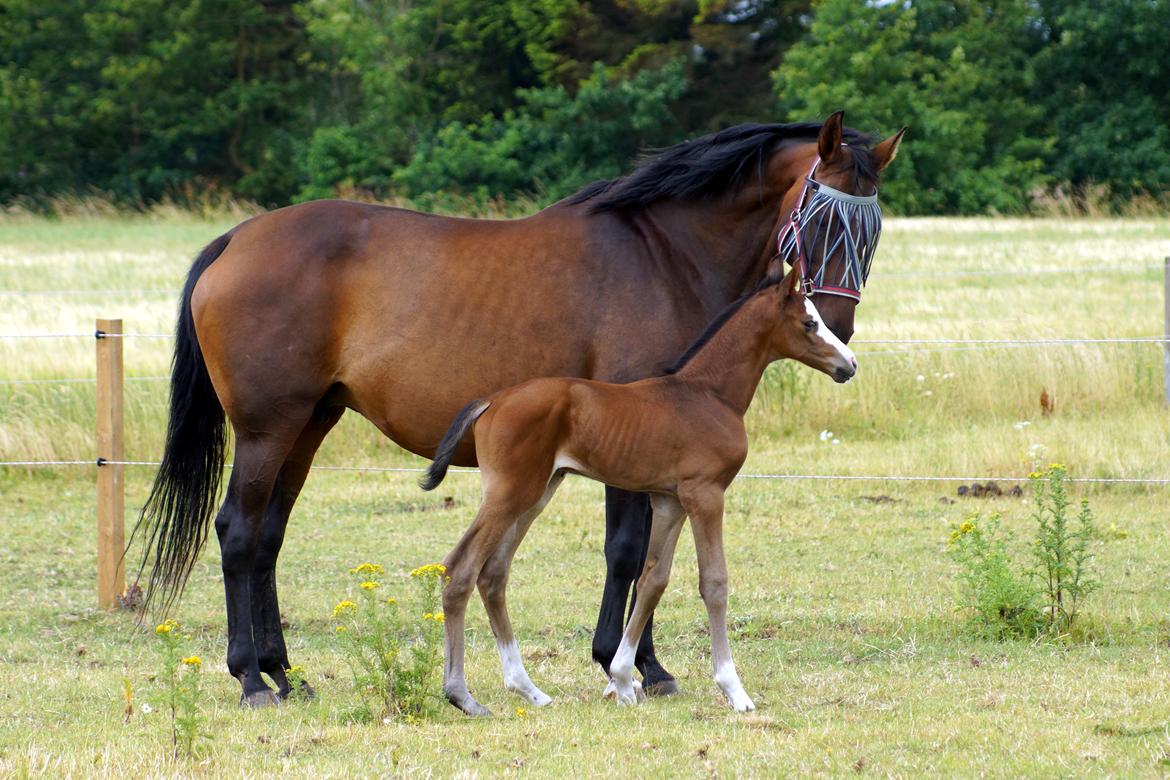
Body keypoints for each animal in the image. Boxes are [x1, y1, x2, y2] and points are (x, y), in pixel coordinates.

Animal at [423, 260, 861, 715]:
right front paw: (734, 690)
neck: (707, 394)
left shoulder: (669, 501)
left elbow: (653, 580)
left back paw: (529, 689)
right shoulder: (705, 494)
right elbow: (714, 583)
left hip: (537, 493)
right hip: (510, 493)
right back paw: (462, 695)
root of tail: (491, 401)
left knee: (493, 572)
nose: (849, 363)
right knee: (460, 570)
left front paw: (622, 679)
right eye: (810, 323)